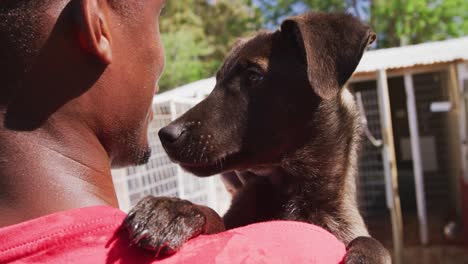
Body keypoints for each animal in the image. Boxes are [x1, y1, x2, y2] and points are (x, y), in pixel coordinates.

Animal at [124, 11, 392, 262]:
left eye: (254, 76)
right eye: (216, 82)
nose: (165, 135)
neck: (289, 191)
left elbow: (373, 243)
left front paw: (368, 254)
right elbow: (215, 217)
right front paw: (174, 211)